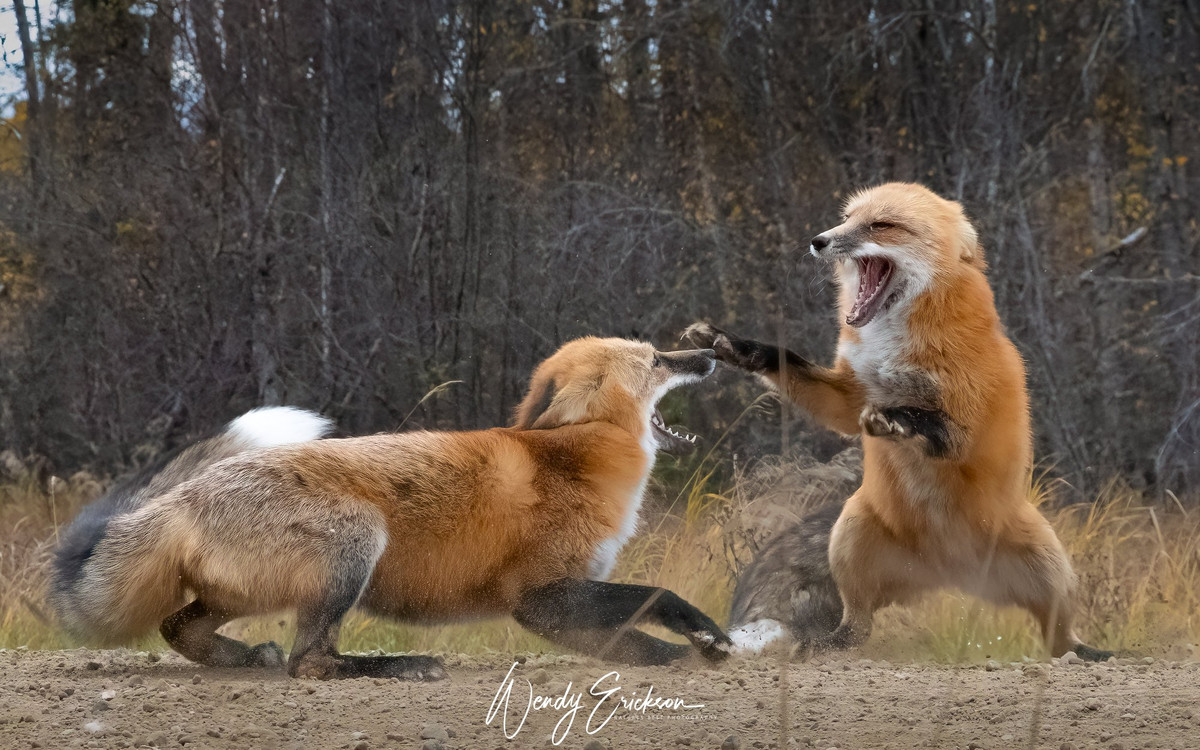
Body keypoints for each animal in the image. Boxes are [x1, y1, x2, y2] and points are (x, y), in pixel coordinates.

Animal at [50, 337, 732, 679]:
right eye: (657, 359)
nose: (713, 354)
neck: (575, 455)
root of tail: (185, 496)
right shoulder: (541, 596)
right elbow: (658, 597)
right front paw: (699, 644)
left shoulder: (561, 605)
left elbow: (628, 637)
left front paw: (688, 651)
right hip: (355, 542)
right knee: (309, 663)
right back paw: (396, 665)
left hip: (248, 593)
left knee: (179, 628)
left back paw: (241, 660)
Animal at [686, 182, 1111, 661]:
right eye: (847, 218)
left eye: (882, 225)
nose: (819, 241)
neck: (895, 345)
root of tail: (950, 572)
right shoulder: (847, 397)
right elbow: (785, 360)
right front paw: (735, 347)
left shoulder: (969, 425)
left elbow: (927, 420)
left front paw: (895, 421)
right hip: (850, 533)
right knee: (856, 628)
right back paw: (823, 646)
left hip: (1050, 565)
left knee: (1060, 638)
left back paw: (1091, 655)